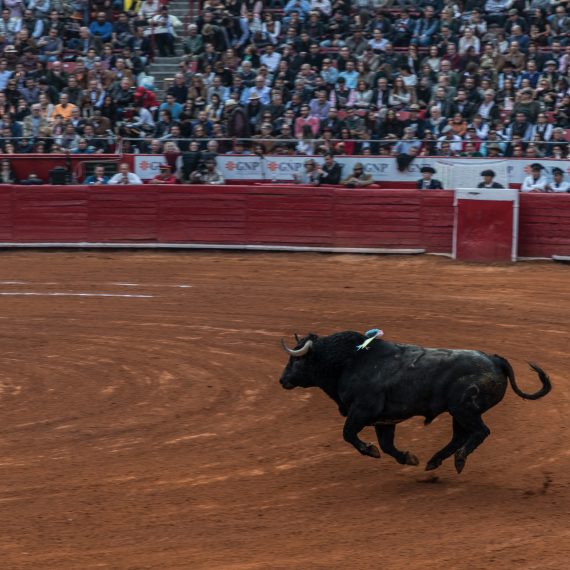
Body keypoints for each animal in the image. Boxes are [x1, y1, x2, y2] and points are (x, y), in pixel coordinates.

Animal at [280, 330, 552, 472]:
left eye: (296, 361)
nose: (282, 380)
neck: (350, 362)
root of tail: (495, 359)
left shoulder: (362, 411)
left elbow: (348, 434)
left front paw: (370, 450)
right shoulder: (384, 420)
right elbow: (387, 445)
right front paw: (408, 458)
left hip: (464, 409)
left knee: (480, 432)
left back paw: (459, 460)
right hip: (459, 414)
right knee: (460, 436)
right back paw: (433, 461)